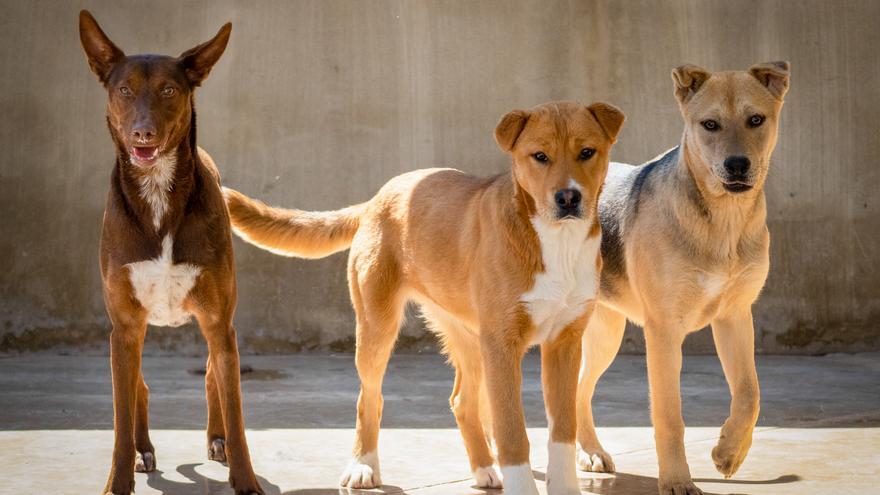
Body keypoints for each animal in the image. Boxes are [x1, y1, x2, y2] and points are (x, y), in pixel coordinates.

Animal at [79, 9, 262, 494]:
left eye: (169, 90)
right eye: (123, 90)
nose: (143, 133)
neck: (158, 191)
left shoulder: (219, 322)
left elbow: (234, 407)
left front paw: (244, 479)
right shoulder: (123, 328)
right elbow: (121, 419)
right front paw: (118, 479)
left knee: (214, 378)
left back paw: (216, 439)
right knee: (138, 390)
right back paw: (144, 448)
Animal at [225, 99, 624, 494]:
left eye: (587, 152)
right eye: (539, 156)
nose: (568, 198)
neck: (556, 241)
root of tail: (378, 197)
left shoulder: (564, 343)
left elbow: (562, 433)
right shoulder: (503, 343)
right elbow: (513, 435)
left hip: (470, 338)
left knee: (462, 402)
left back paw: (483, 469)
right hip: (379, 328)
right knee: (369, 399)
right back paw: (363, 466)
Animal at [576, 63, 792, 495]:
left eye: (756, 120)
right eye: (709, 124)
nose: (737, 165)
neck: (723, 223)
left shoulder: (734, 316)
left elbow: (750, 393)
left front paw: (729, 452)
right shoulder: (663, 330)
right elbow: (669, 416)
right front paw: (676, 479)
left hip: (604, 335)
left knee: (576, 392)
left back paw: (589, 453)